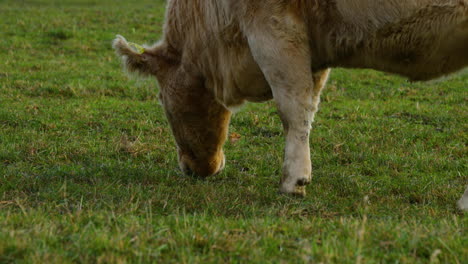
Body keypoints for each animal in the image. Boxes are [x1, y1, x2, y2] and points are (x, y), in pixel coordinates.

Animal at [113, 0, 468, 201]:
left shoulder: (274, 30)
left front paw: (293, 181)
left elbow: (293, 108)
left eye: (161, 100)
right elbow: (309, 105)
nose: (191, 168)